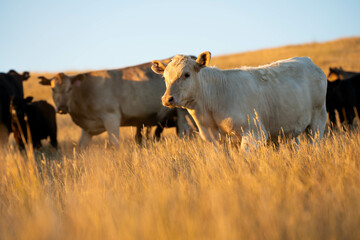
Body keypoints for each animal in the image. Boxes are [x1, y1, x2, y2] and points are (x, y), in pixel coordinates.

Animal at [39, 61, 194, 148]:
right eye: (52, 89)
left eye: (70, 88)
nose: (62, 109)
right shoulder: (87, 128)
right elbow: (82, 147)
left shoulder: (111, 117)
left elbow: (115, 144)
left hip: (182, 113)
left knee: (185, 133)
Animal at [152, 52, 330, 150]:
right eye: (164, 77)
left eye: (186, 74)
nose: (167, 99)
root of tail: (307, 60)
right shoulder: (218, 142)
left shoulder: (254, 134)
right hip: (288, 131)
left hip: (317, 121)